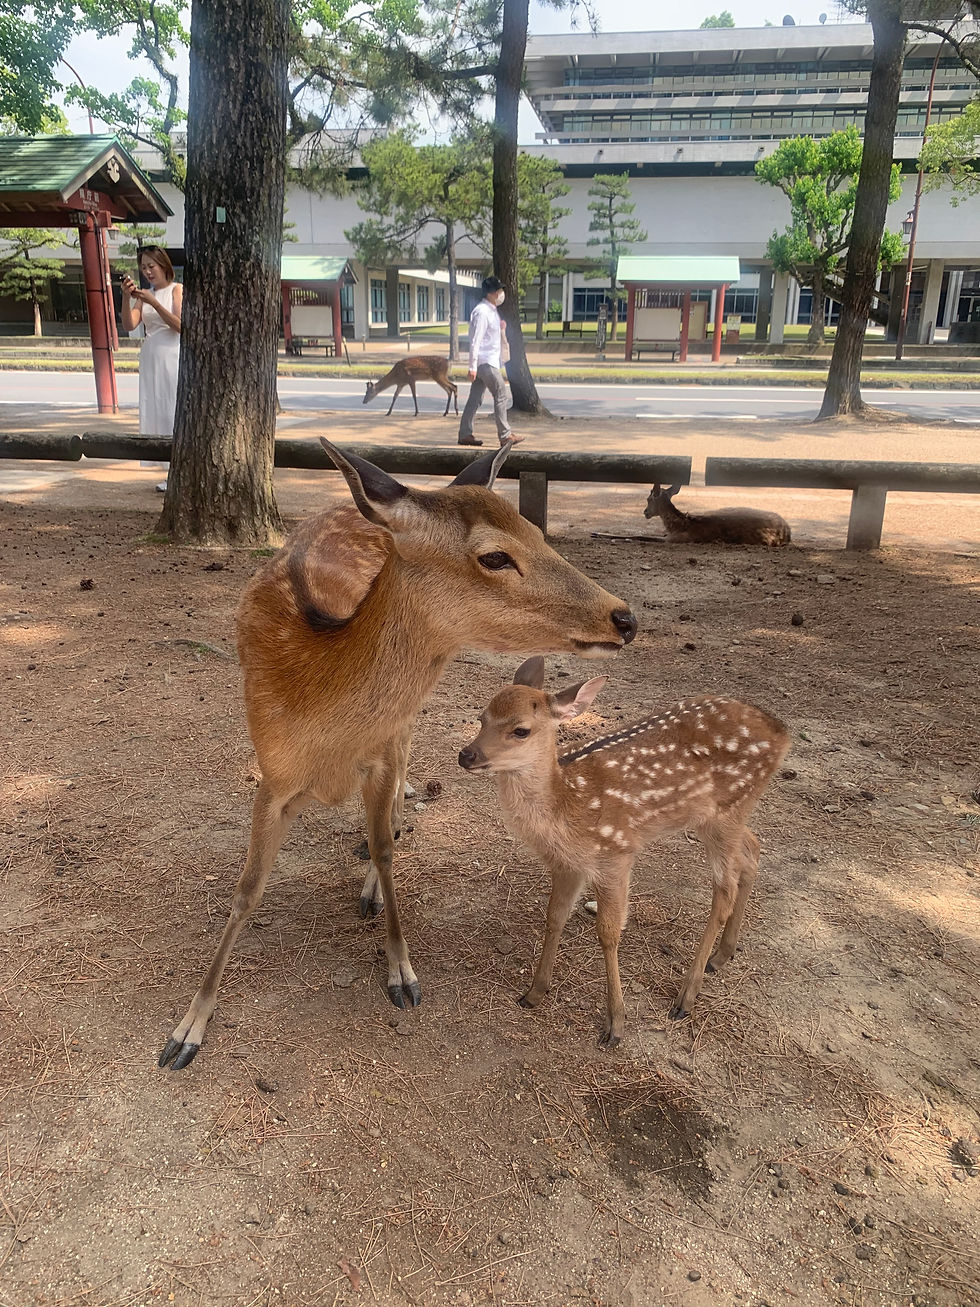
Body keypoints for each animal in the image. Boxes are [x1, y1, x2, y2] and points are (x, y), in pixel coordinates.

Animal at [158, 441, 637, 1070]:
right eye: (495, 555)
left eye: (537, 529)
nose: (625, 618)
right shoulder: (271, 772)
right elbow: (247, 888)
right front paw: (186, 1030)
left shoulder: (381, 753)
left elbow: (387, 850)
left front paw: (402, 972)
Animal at [458, 658, 789, 1048]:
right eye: (481, 717)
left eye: (521, 730)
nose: (466, 754)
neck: (566, 806)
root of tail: (782, 731)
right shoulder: (569, 864)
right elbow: (554, 917)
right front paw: (534, 992)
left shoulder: (615, 853)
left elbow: (608, 933)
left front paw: (615, 1024)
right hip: (721, 816)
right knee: (752, 851)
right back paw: (722, 955)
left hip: (728, 809)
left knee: (724, 890)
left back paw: (686, 997)